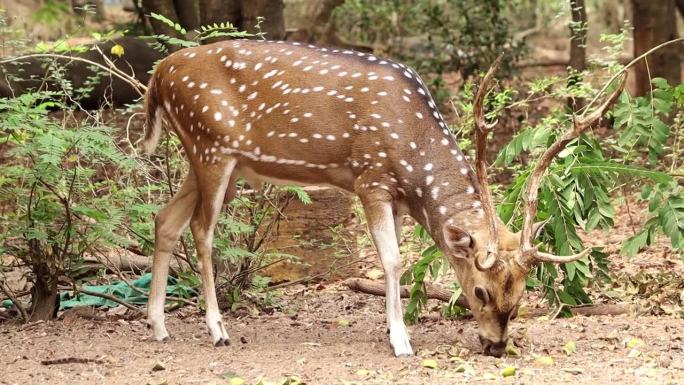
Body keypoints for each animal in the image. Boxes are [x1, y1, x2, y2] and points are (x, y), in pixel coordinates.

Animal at [143, 39, 624, 356]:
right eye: (481, 291)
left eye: (521, 296)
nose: (495, 346)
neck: (413, 154)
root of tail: (158, 75)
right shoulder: (370, 179)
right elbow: (391, 260)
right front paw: (401, 340)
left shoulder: (394, 198)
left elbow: (397, 261)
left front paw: (394, 330)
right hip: (211, 147)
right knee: (202, 230)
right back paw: (217, 330)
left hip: (206, 159)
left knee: (165, 219)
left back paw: (159, 326)